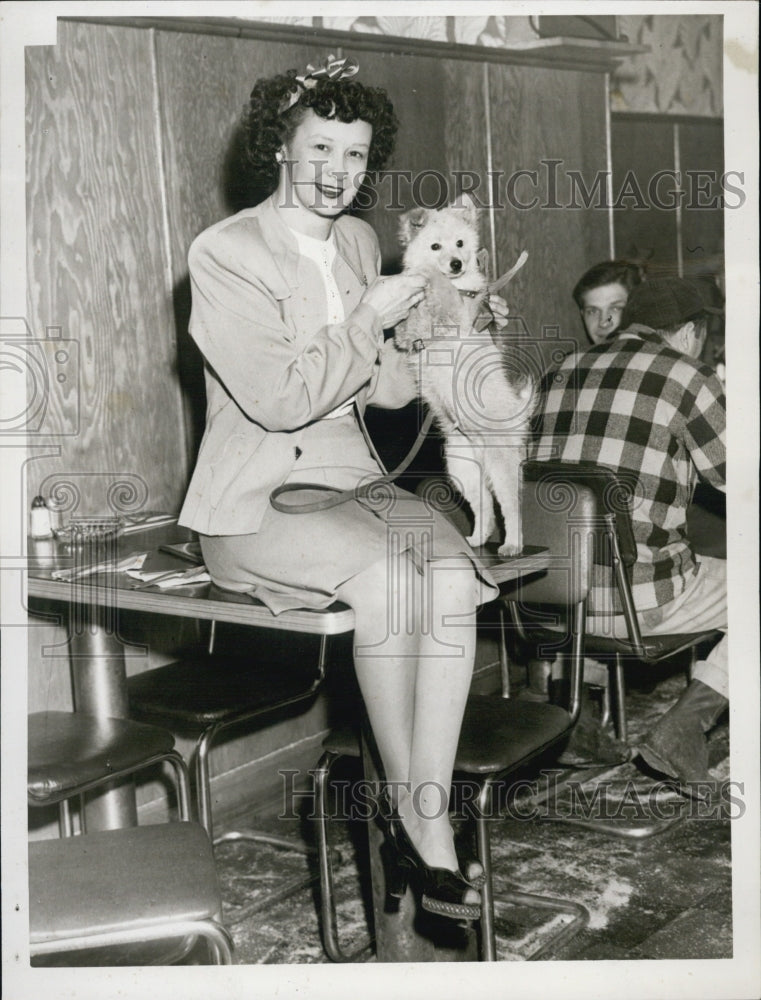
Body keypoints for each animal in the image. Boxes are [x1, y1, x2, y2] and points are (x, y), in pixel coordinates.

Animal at [392, 195, 536, 556]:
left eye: (460, 243)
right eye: (435, 245)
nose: (456, 263)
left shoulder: (460, 308)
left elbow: (443, 292)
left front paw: (430, 277)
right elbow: (408, 327)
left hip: (500, 463)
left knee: (511, 508)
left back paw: (512, 545)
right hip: (462, 469)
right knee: (484, 509)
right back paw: (476, 539)